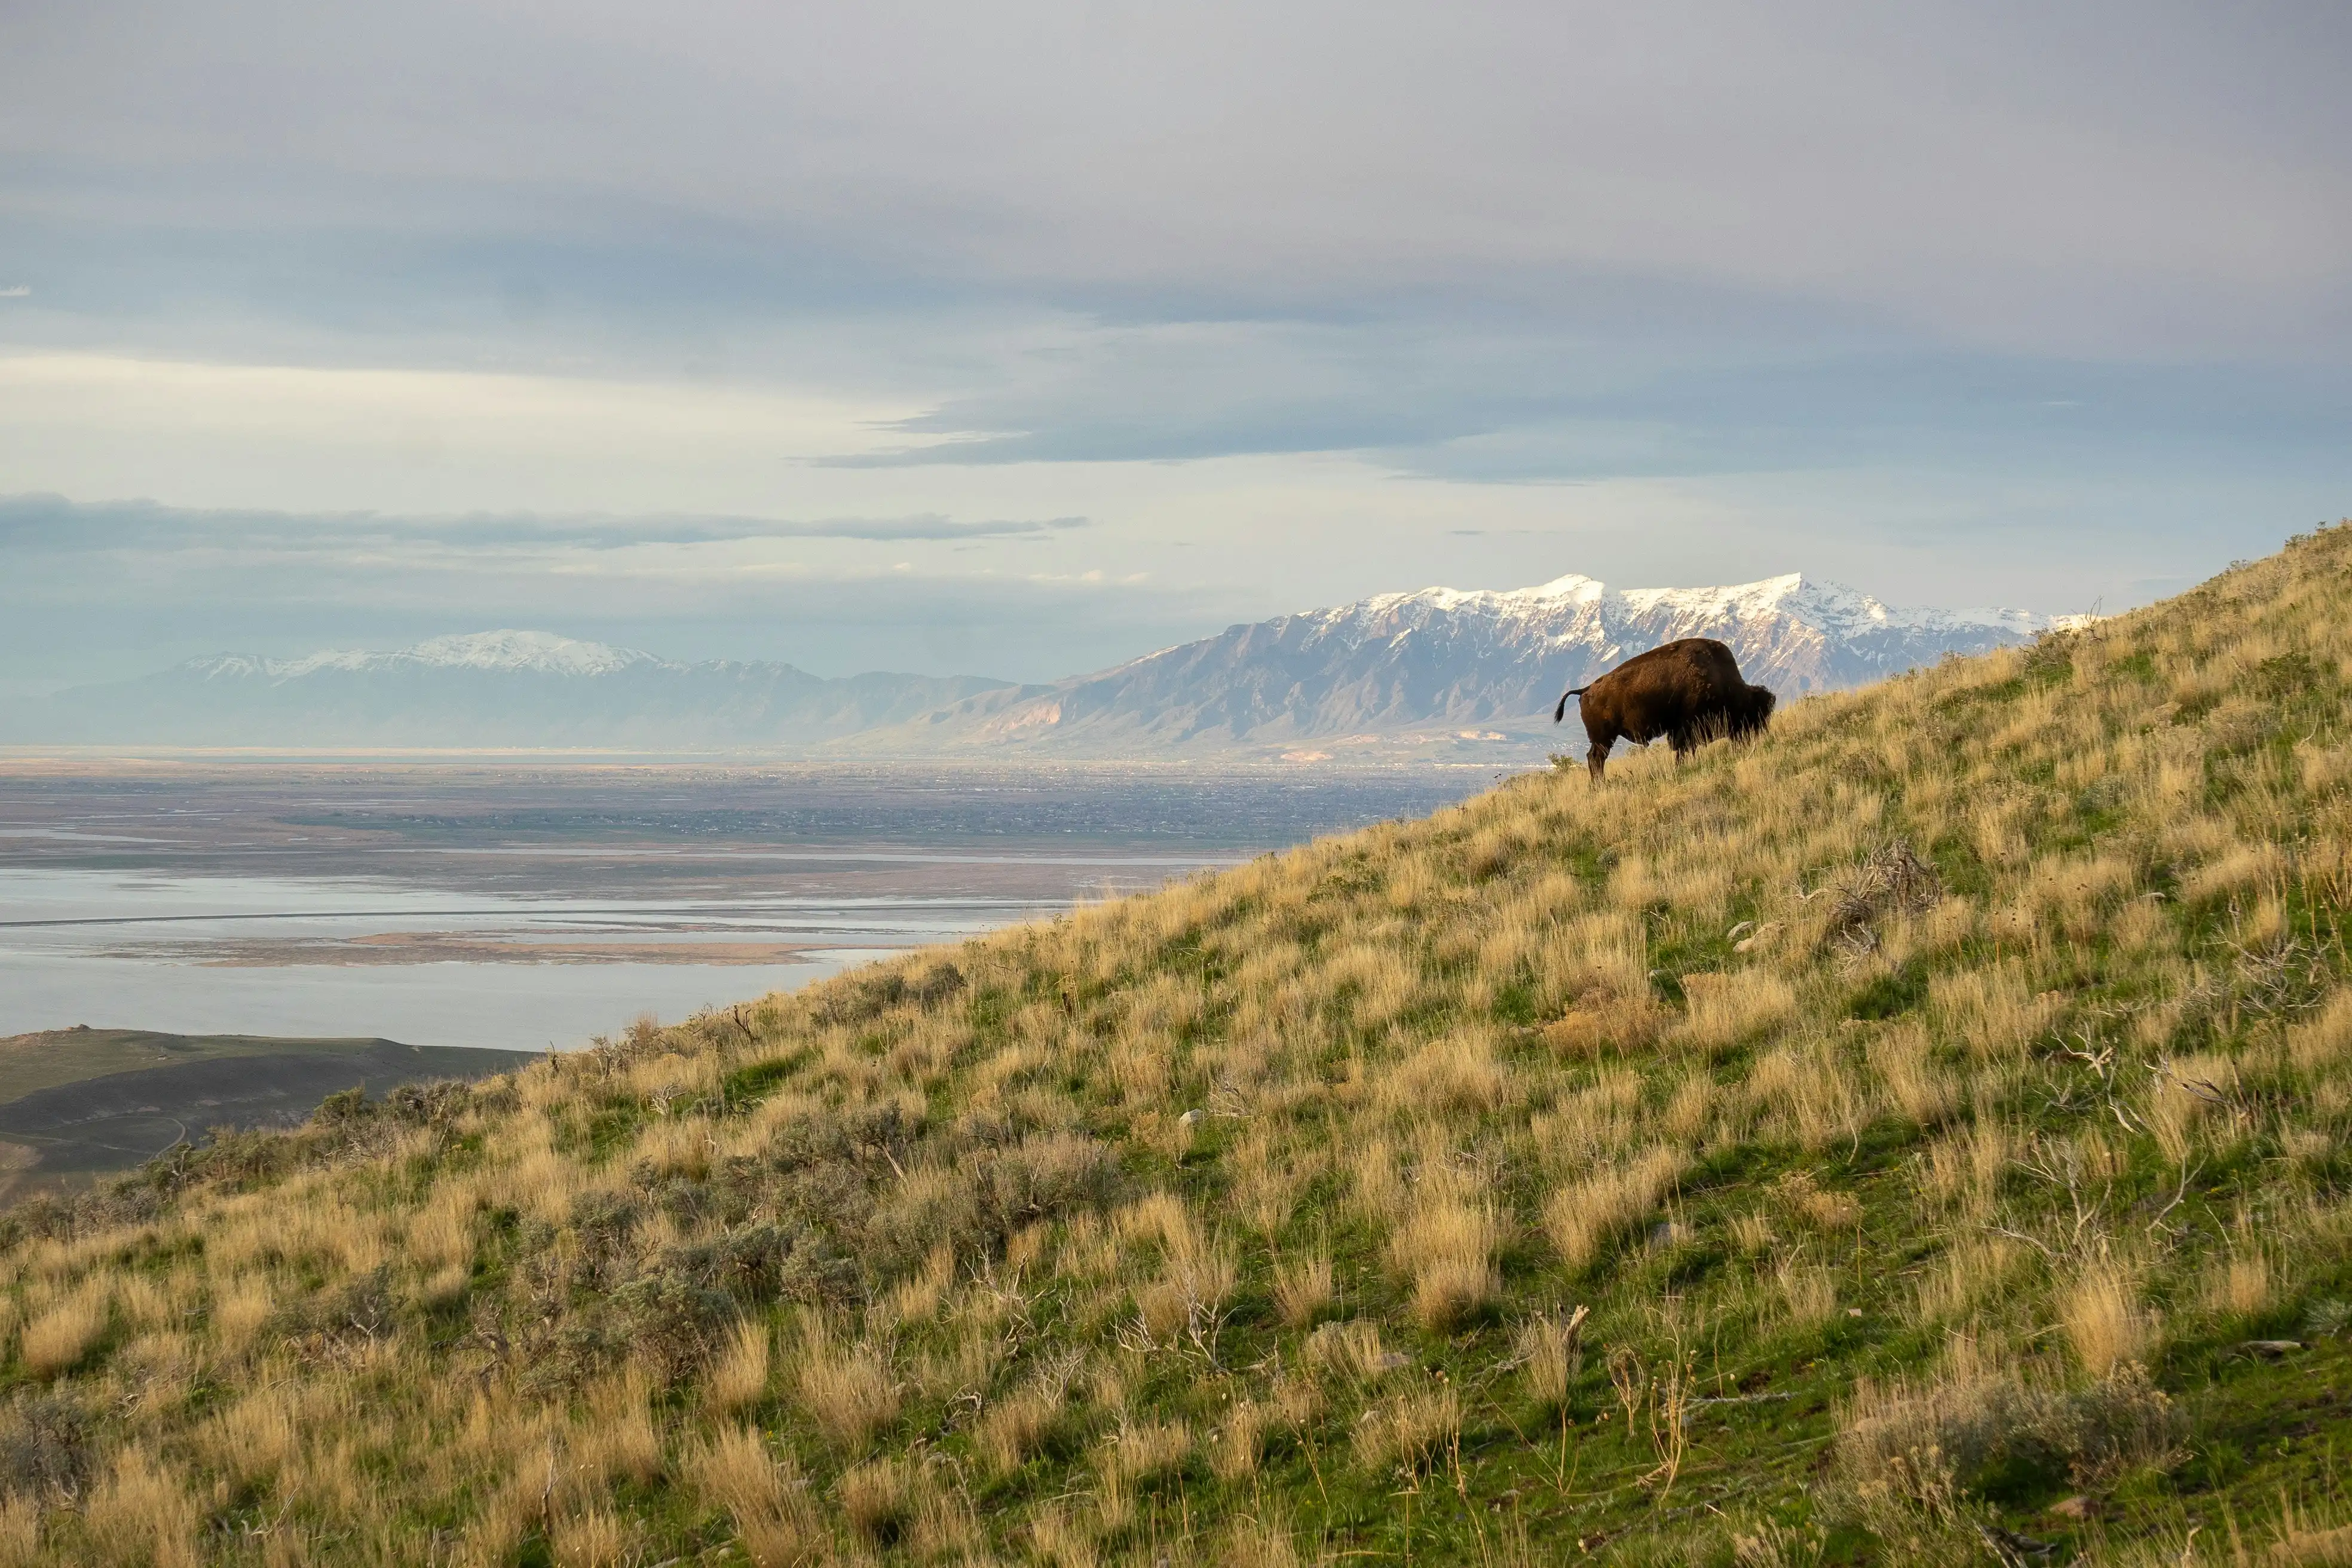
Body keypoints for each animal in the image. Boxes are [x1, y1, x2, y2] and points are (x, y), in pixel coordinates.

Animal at [1552, 638, 1775, 782]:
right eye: (1753, 713)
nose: (1758, 735)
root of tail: (1587, 689)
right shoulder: (1686, 729)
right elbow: (1682, 751)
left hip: (1603, 739)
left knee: (1594, 759)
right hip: (1603, 738)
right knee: (1596, 759)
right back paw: (1600, 785)